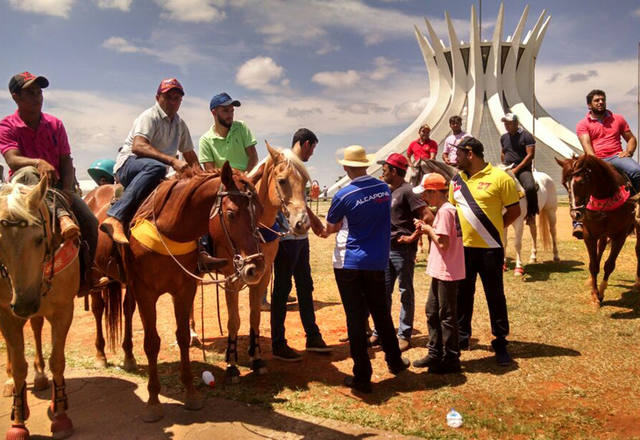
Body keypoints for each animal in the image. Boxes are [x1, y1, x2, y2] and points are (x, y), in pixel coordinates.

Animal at [0, 177, 77, 438]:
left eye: (39, 239)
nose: (25, 303)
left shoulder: (63, 310)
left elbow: (58, 361)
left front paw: (61, 417)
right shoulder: (7, 315)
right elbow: (19, 366)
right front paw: (17, 422)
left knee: (35, 327)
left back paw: (43, 378)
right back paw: (11, 383)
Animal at [107, 162, 264, 422]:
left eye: (260, 212)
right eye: (231, 214)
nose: (256, 268)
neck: (168, 228)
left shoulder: (184, 289)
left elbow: (182, 337)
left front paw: (190, 393)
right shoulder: (146, 292)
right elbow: (152, 342)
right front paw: (153, 401)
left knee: (127, 309)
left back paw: (128, 356)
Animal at [215, 143, 312, 384]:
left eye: (305, 182)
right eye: (282, 181)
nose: (303, 224)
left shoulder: (262, 275)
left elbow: (255, 317)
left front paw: (257, 358)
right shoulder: (231, 280)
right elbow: (234, 321)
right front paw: (231, 364)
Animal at [556, 156, 640, 306]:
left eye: (581, 182)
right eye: (564, 184)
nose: (575, 214)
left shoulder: (620, 236)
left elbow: (610, 265)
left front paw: (601, 291)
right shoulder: (590, 235)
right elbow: (593, 264)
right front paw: (595, 294)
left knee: (637, 250)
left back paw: (637, 283)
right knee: (600, 249)